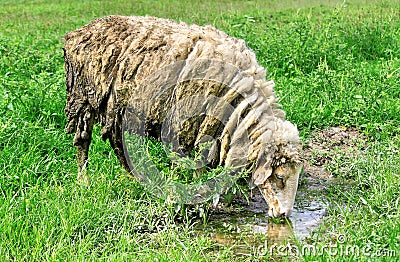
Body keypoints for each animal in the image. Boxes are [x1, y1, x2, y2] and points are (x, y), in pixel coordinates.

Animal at [62, 15, 302, 218]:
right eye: (280, 177)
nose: (284, 215)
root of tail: (77, 32)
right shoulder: (189, 121)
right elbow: (195, 160)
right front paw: (199, 193)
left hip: (117, 106)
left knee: (116, 141)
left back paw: (133, 176)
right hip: (83, 97)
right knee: (82, 140)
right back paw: (84, 180)